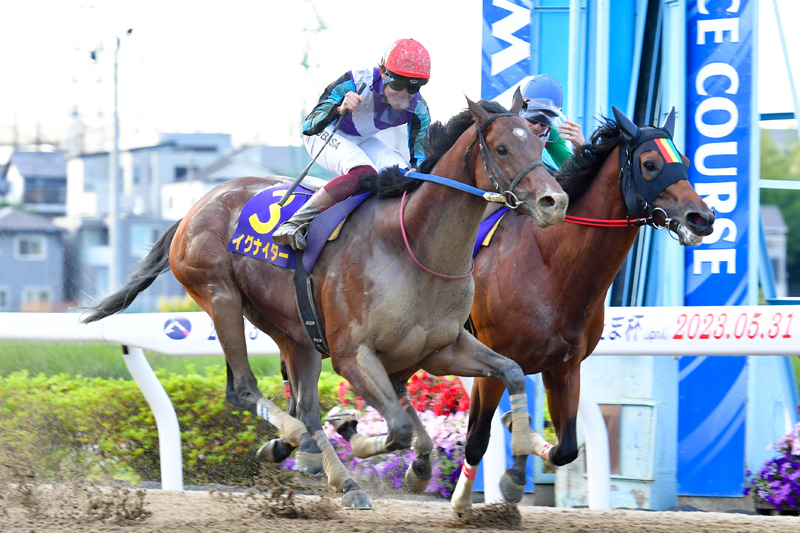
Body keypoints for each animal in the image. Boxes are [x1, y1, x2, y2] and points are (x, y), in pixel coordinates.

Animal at [79, 93, 568, 510]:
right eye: (502, 148)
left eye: (539, 141)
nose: (555, 201)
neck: (414, 246)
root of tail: (195, 206)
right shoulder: (353, 355)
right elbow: (399, 426)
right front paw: (357, 435)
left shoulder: (442, 348)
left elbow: (511, 372)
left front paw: (507, 477)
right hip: (221, 296)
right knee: (247, 390)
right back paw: (317, 456)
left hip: (293, 332)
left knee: (305, 405)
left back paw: (315, 460)